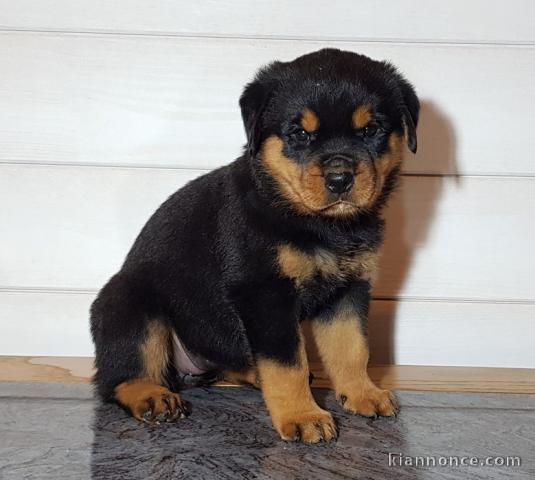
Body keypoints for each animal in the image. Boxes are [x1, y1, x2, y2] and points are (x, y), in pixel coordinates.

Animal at [91, 47, 418, 442]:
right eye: (300, 134)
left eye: (370, 130)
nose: (340, 178)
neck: (322, 224)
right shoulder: (265, 292)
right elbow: (288, 362)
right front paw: (303, 416)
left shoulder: (348, 288)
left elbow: (351, 347)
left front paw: (362, 393)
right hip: (131, 304)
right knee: (118, 377)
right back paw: (153, 396)